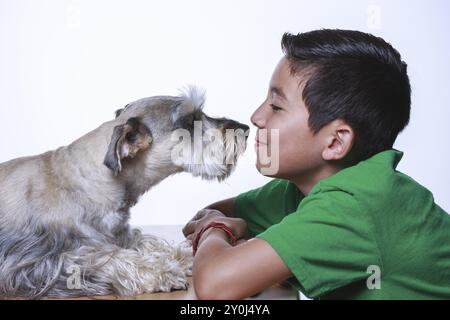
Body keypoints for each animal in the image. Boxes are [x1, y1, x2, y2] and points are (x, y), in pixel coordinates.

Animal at [0, 87, 250, 298]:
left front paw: (186, 255)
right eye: (190, 121)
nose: (245, 129)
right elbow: (111, 258)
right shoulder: (47, 260)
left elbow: (150, 243)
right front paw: (162, 272)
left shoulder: (121, 235)